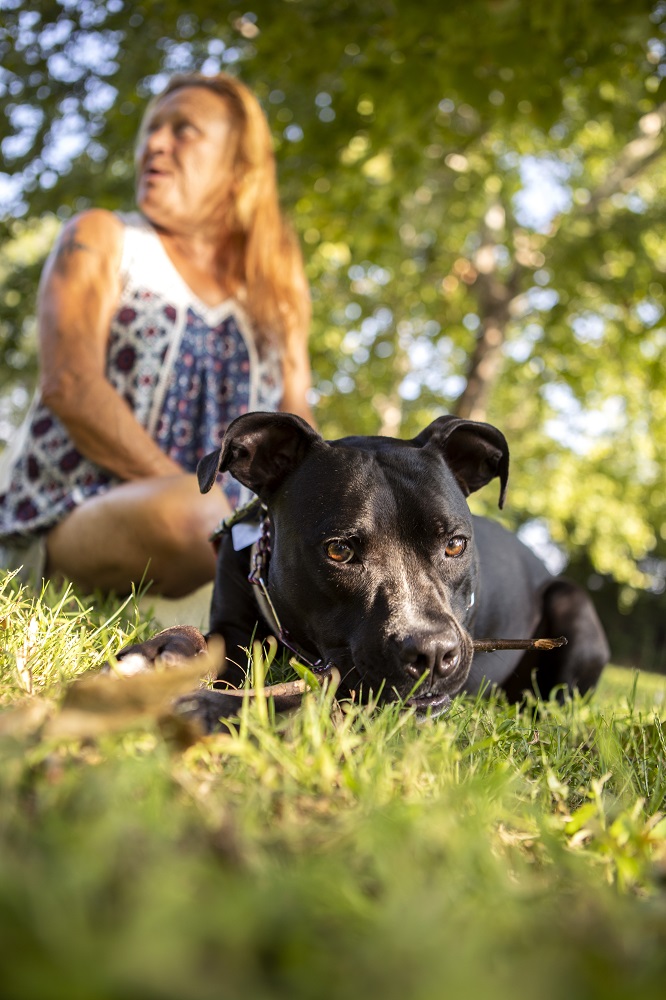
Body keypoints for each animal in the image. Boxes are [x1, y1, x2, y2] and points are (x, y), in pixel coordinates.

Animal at [118, 410, 608, 732]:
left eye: (455, 544)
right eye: (338, 550)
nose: (433, 653)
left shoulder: (358, 688)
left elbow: (295, 698)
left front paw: (212, 707)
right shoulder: (235, 631)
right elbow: (197, 638)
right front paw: (157, 653)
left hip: (571, 601)